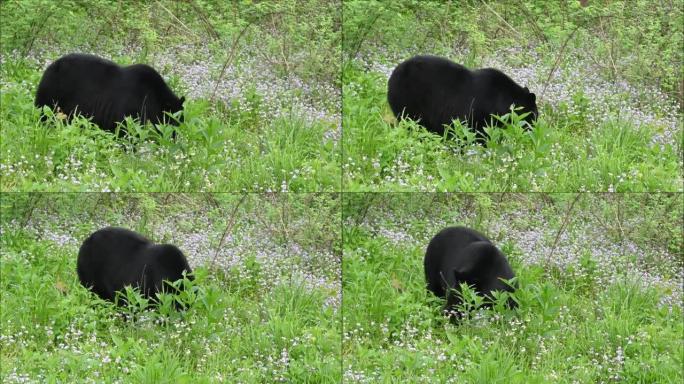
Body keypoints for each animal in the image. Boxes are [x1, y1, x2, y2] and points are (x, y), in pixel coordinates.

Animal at [34, 53, 184, 136]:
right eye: (173, 123)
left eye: (179, 123)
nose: (173, 139)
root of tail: (50, 67)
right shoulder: (131, 109)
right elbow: (126, 131)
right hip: (52, 94)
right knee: (44, 113)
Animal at [388, 54, 536, 138]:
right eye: (534, 115)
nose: (533, 128)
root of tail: (394, 74)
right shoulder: (480, 111)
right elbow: (479, 132)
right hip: (410, 98)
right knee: (412, 120)